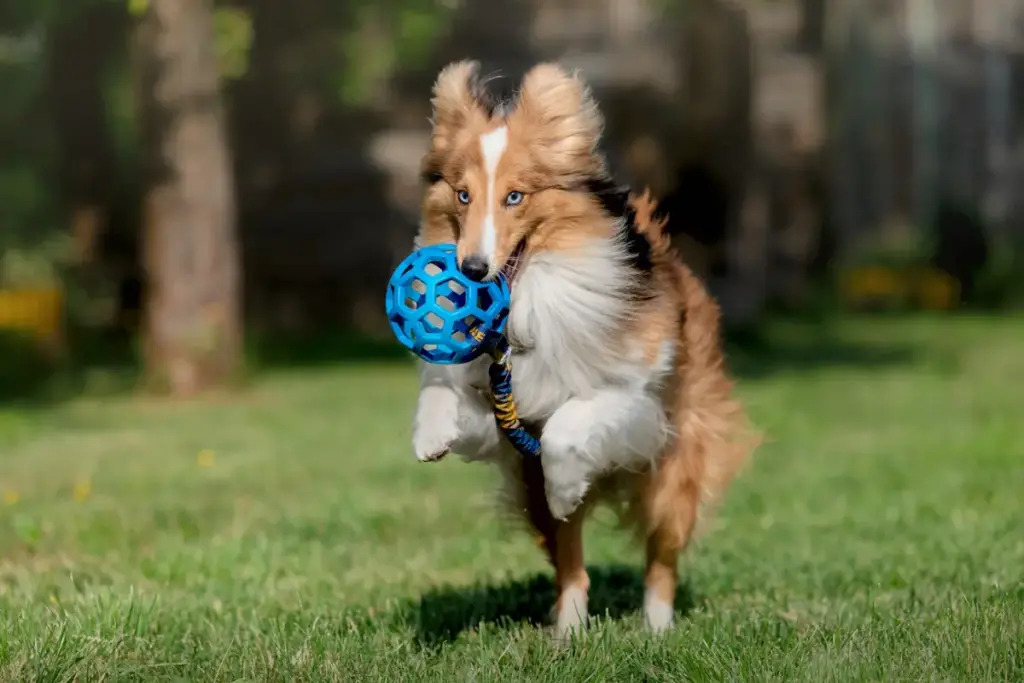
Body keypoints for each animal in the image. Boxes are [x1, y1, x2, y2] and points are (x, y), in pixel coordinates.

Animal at [411, 61, 757, 638]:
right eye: (462, 195)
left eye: (515, 197)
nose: (472, 269)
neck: (528, 296)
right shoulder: (505, 424)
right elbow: (443, 387)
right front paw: (431, 432)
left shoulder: (637, 395)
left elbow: (566, 424)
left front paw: (567, 483)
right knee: (572, 563)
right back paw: (568, 634)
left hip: (675, 467)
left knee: (661, 558)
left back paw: (657, 631)